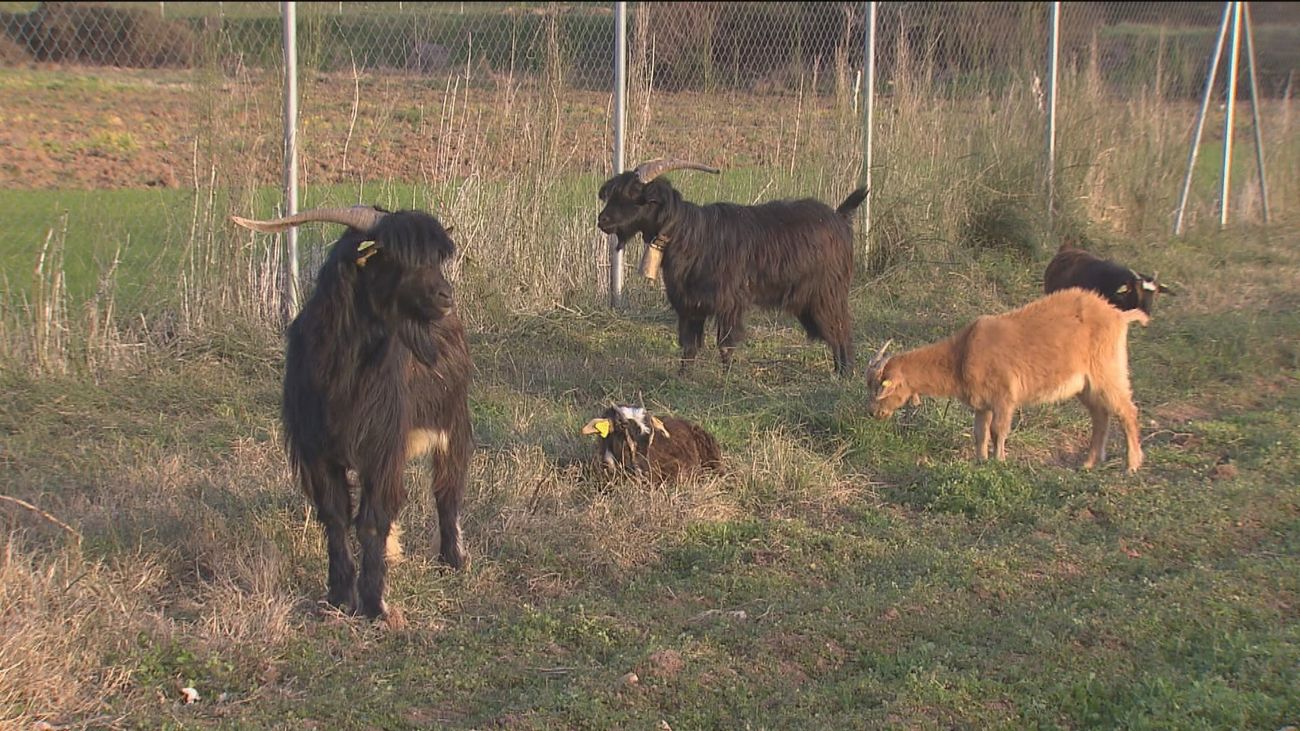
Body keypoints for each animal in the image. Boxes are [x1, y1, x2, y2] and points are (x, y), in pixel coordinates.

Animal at [232, 205, 473, 626]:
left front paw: (374, 604)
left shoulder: (381, 446)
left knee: (446, 489)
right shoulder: (318, 452)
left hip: (451, 421)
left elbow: (372, 520)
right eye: (393, 257)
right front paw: (339, 596)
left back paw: (451, 559)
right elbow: (336, 517)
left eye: (433, 257)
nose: (445, 295)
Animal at [597, 158, 865, 376]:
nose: (602, 220)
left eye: (634, 195)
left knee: (841, 329)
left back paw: (845, 374)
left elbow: (725, 344)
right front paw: (683, 377)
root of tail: (839, 217)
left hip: (827, 295)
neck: (689, 234)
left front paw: (725, 380)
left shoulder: (729, 303)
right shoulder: (689, 306)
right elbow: (688, 345)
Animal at [866, 288, 1149, 473]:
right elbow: (979, 433)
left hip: (1108, 372)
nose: (873, 413)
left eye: (881, 387)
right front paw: (980, 461)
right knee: (1101, 415)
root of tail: (1119, 316)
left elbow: (998, 430)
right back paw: (1089, 463)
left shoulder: (1004, 398)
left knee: (1127, 411)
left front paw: (999, 461)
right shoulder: (982, 404)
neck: (962, 353)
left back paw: (1131, 465)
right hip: (1086, 386)